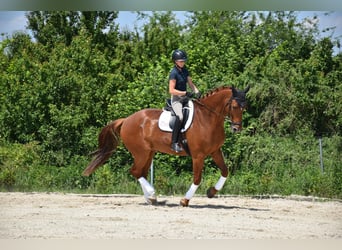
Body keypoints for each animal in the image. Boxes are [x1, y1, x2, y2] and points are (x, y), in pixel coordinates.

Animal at [82, 85, 248, 206]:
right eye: (234, 106)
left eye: (244, 107)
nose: (236, 129)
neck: (208, 118)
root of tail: (127, 119)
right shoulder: (198, 156)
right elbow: (197, 178)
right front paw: (185, 200)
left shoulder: (215, 151)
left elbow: (225, 171)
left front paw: (211, 192)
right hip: (141, 152)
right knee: (135, 171)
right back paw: (152, 195)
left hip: (149, 153)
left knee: (141, 172)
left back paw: (151, 198)